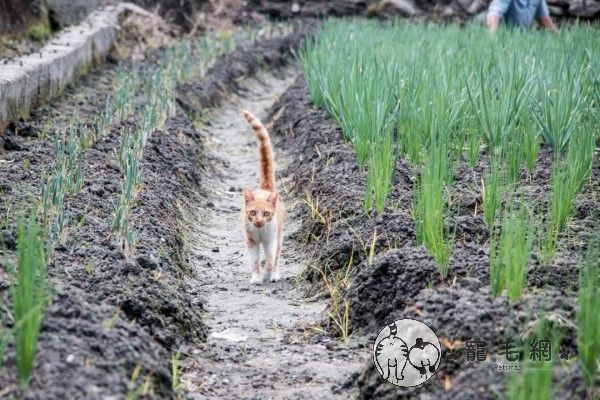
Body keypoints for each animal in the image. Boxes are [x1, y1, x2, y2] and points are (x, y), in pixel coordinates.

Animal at [240, 109, 284, 284]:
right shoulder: (251, 241)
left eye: (266, 213)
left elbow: (270, 261)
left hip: (279, 236)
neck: (259, 232)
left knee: (277, 258)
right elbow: (255, 262)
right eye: (252, 212)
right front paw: (256, 278)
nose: (258, 221)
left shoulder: (270, 241)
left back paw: (275, 276)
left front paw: (267, 275)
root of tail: (265, 188)